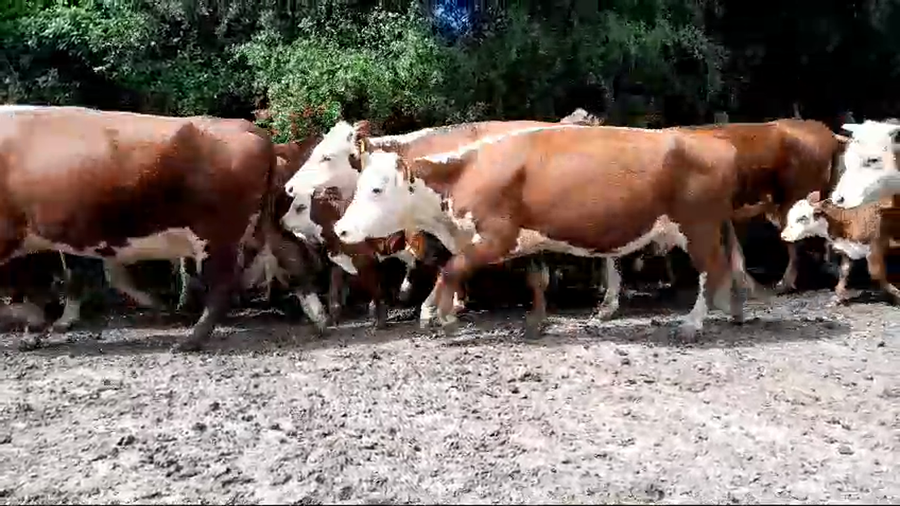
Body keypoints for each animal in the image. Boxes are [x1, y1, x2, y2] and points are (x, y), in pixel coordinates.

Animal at [333, 124, 753, 340]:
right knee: (726, 268)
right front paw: (432, 311)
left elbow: (451, 270)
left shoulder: (497, 237)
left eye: (376, 189)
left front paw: (445, 317)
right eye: (361, 184)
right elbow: (463, 271)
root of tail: (717, 143)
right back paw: (733, 311)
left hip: (698, 227)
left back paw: (693, 323)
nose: (340, 227)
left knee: (711, 270)